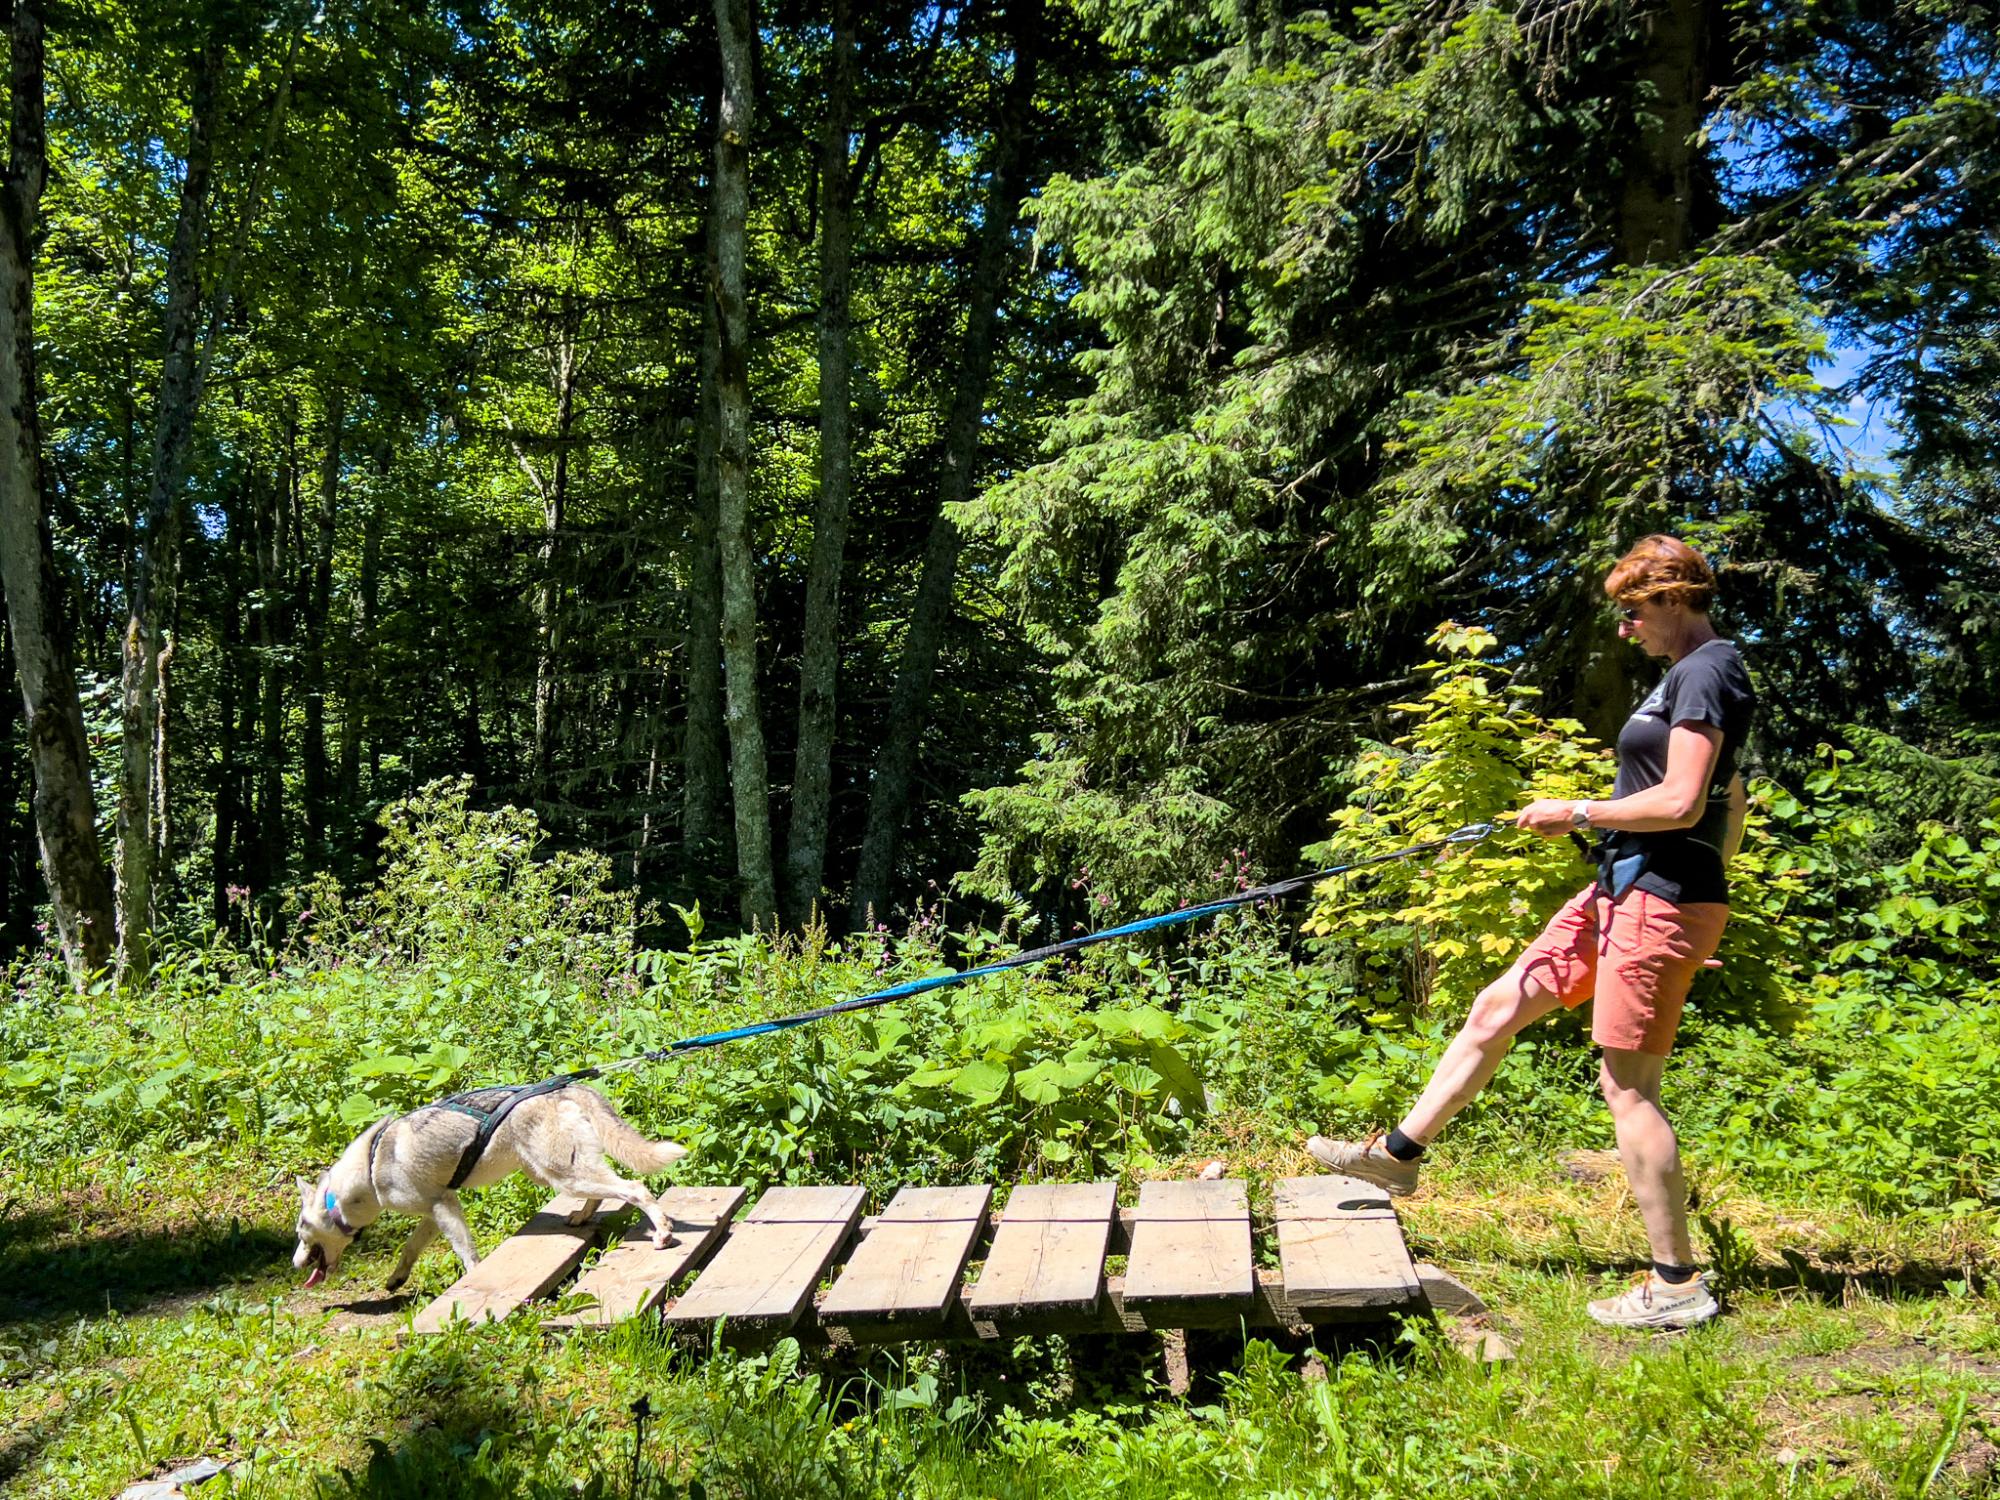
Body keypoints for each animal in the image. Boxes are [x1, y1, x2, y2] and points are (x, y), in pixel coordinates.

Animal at [292, 1080, 688, 1296]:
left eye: (300, 1230)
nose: (295, 1264)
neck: (371, 1169)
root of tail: (567, 1087)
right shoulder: (437, 1210)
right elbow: (409, 1249)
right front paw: (396, 1279)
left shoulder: (445, 1208)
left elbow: (467, 1255)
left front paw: (473, 1279)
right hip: (554, 1174)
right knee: (605, 1192)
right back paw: (579, 1218)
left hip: (564, 1176)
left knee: (635, 1187)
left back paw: (662, 1232)